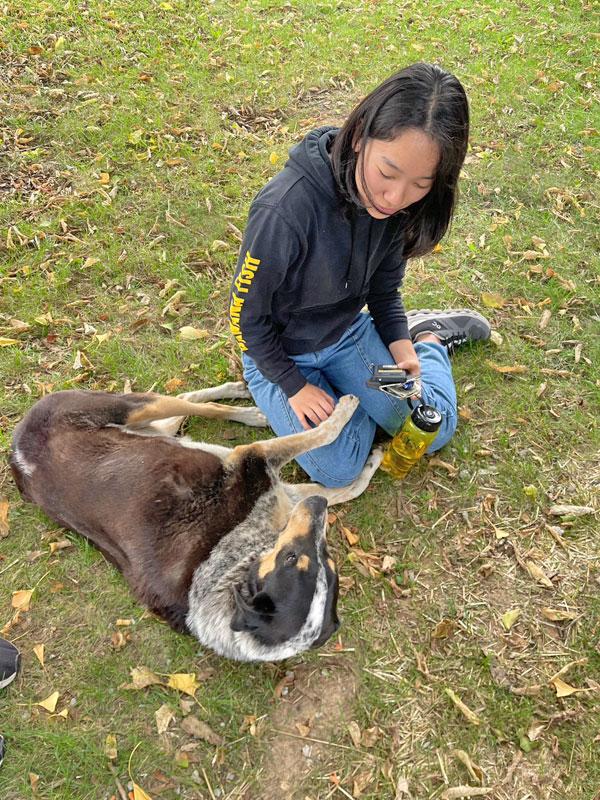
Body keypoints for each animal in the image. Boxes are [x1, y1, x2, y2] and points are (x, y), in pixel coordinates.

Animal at [9, 382, 382, 664]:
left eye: (329, 562)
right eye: (292, 559)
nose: (318, 509)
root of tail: (14, 455)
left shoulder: (281, 493)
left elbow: (346, 488)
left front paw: (369, 464)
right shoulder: (253, 458)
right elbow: (320, 436)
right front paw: (344, 411)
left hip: (151, 428)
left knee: (184, 403)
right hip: (129, 409)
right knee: (194, 406)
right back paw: (249, 410)